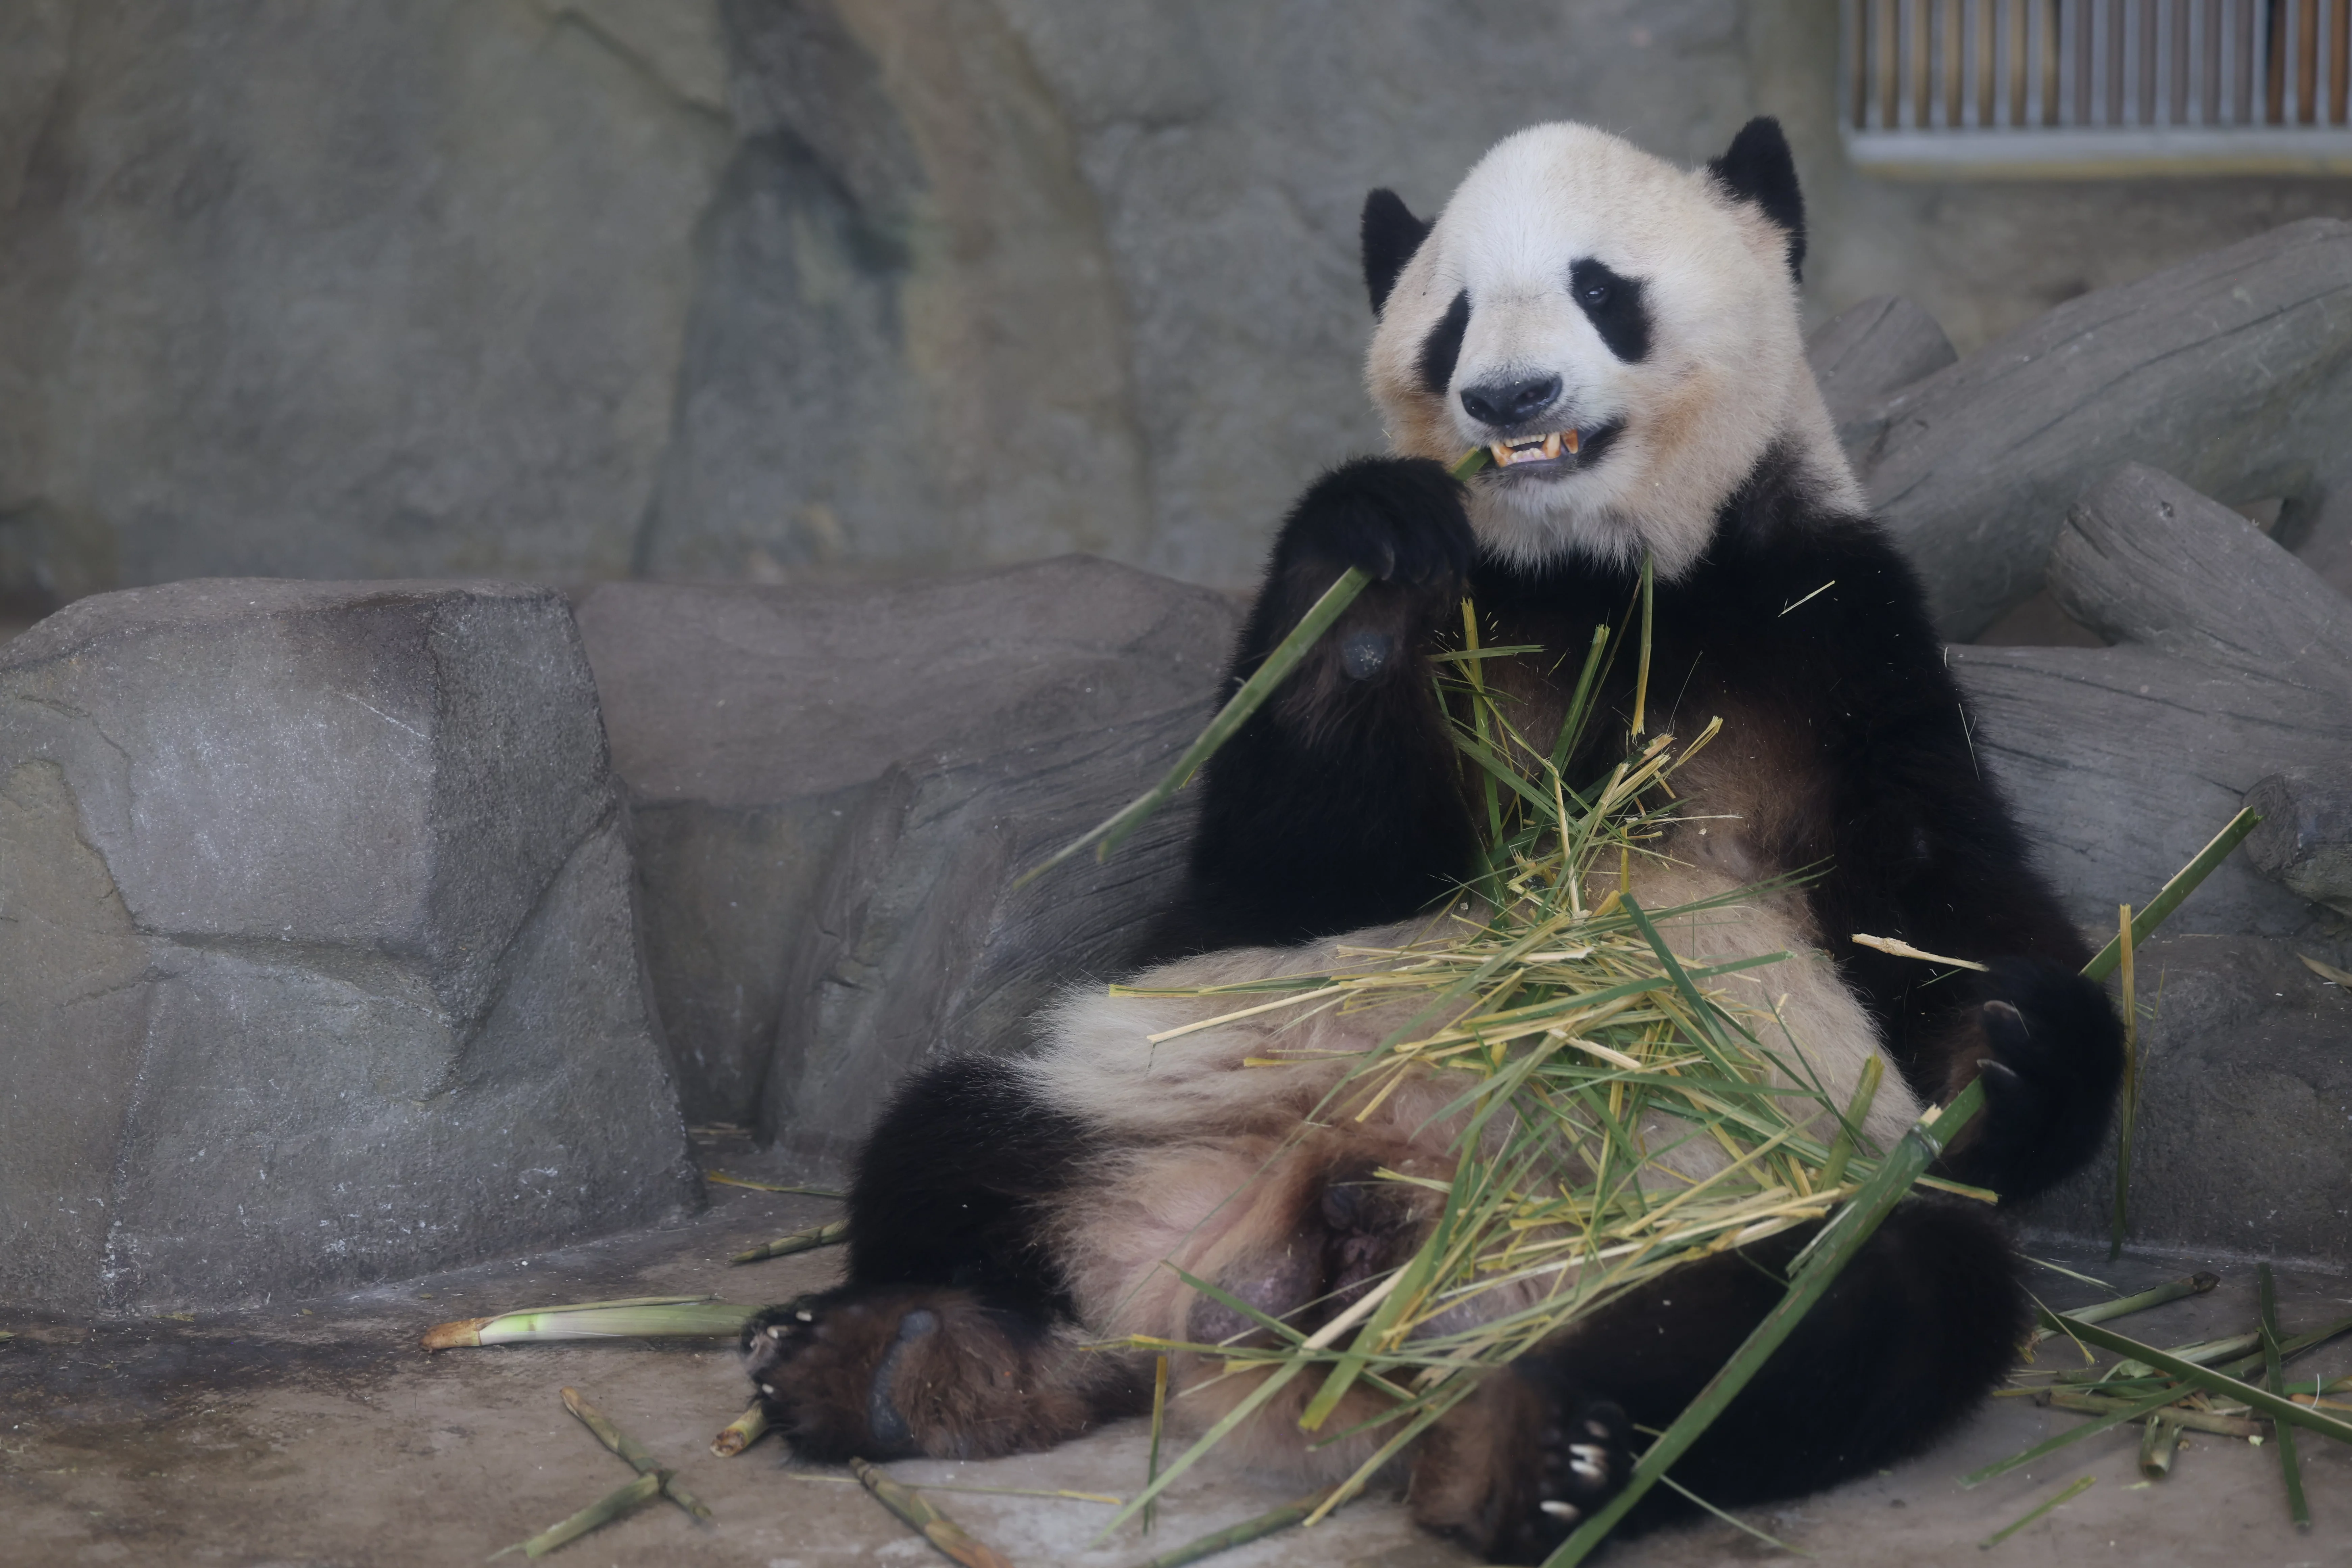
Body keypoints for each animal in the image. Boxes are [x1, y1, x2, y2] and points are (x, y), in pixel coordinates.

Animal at [742, 118, 2124, 1562]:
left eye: (1600, 288)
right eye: (1451, 319)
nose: (1507, 400)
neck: (1606, 577)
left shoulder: (1837, 630)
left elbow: (1934, 900)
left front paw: (2020, 1045)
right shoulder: (1466, 650)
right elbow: (1280, 874)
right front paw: (1371, 567)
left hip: (1745, 1201)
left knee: (1853, 1309)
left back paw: (1529, 1448)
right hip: (1147, 1105)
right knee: (953, 1146)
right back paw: (899, 1363)